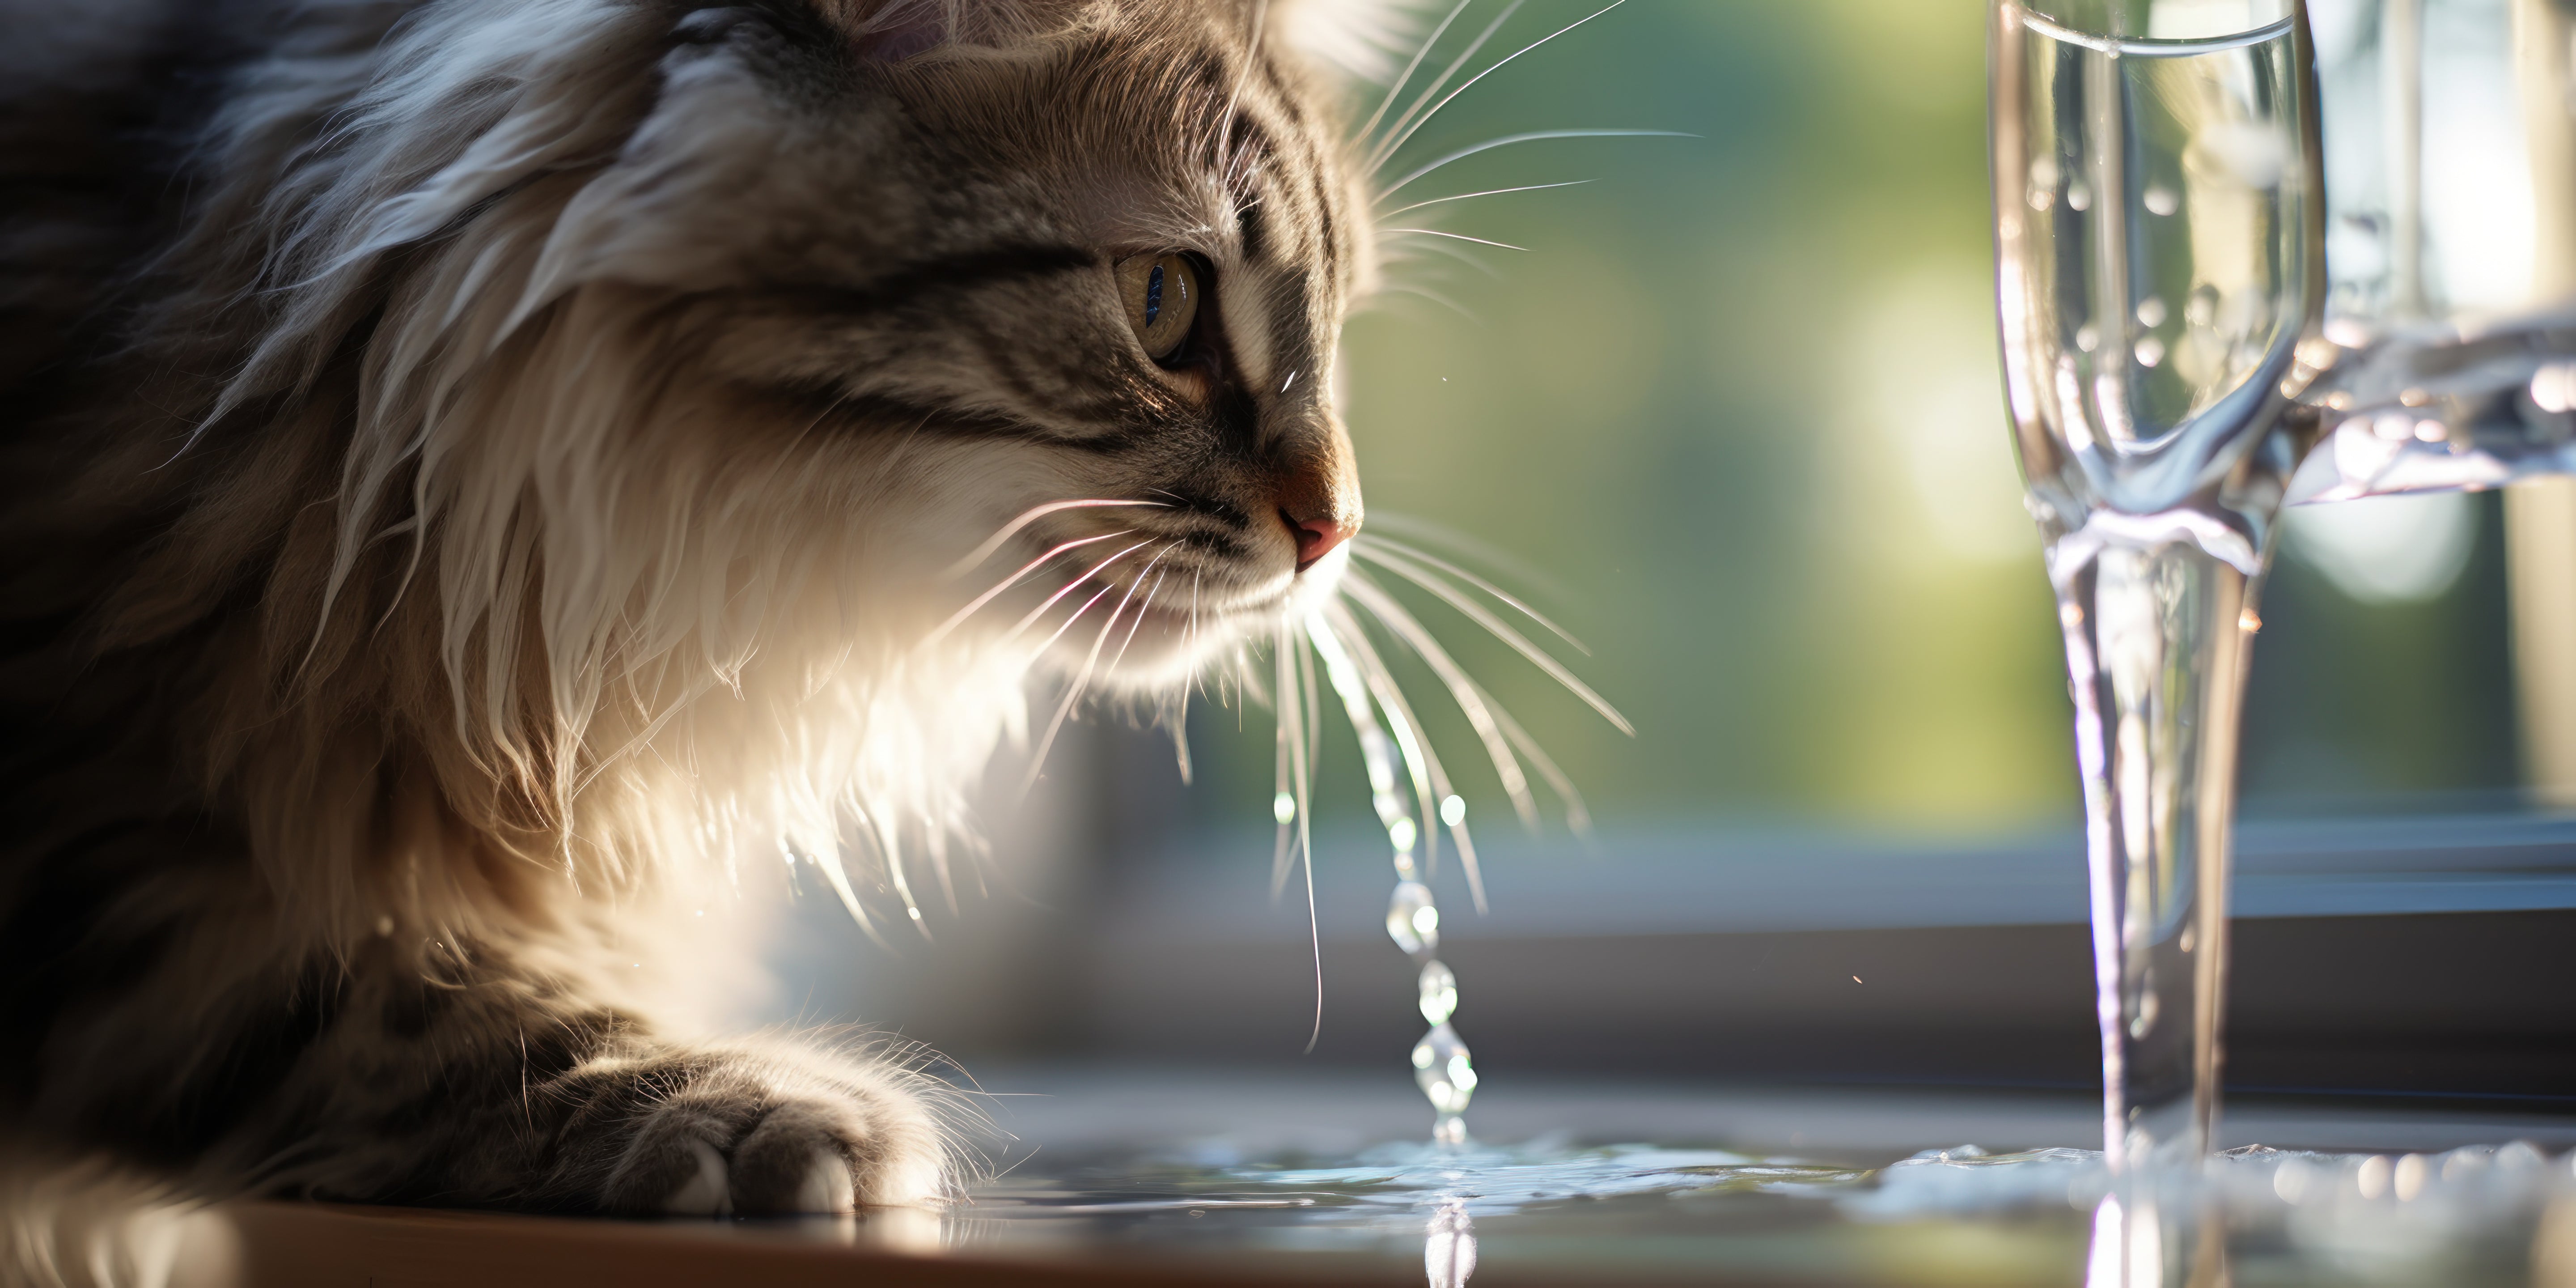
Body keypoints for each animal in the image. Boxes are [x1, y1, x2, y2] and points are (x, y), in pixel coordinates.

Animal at [0, 0, 1411, 1216]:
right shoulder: (134, 851)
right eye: (1162, 301)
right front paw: (729, 1106)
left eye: (1336, 326)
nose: (1336, 527)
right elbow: (374, 989)